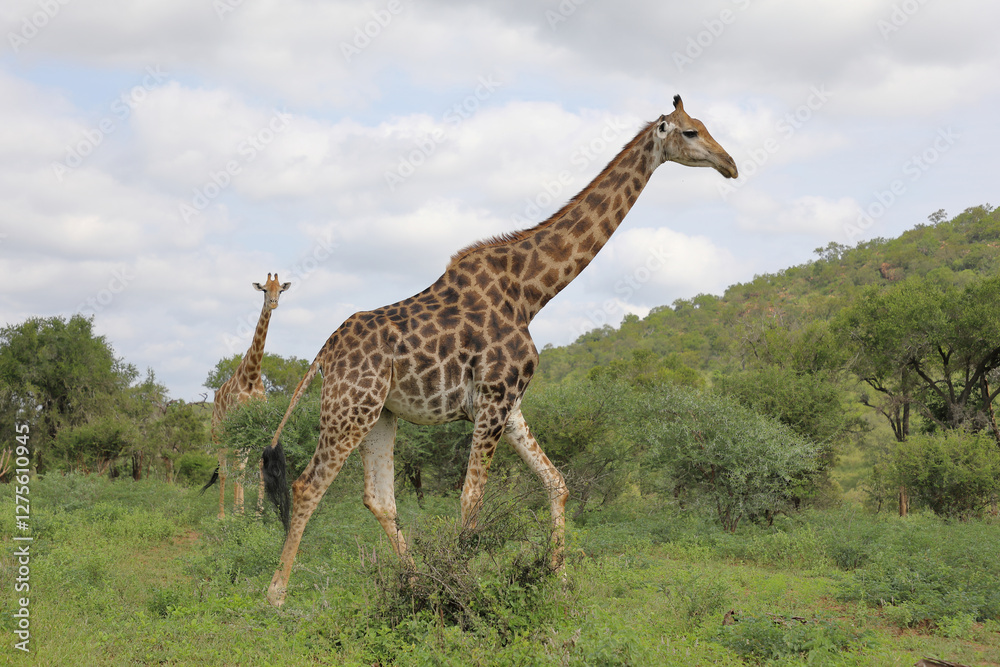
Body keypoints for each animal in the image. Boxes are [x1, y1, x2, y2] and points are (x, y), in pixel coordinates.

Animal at [207, 273, 290, 519]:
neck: (252, 376)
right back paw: (224, 513)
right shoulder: (238, 426)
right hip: (220, 434)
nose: (273, 303)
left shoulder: (258, 427)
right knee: (227, 470)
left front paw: (258, 512)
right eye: (263, 289)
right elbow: (239, 470)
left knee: (238, 466)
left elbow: (259, 467)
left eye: (280, 289)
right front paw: (239, 512)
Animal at [261, 96, 737, 606]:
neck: (530, 292)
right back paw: (277, 595)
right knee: (308, 485)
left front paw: (559, 581)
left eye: (703, 125)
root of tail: (324, 353)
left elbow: (556, 482)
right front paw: (463, 589)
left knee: (379, 498)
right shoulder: (493, 398)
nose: (730, 164)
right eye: (690, 132)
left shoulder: (509, 404)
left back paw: (414, 583)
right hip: (351, 405)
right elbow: (472, 498)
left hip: (380, 413)